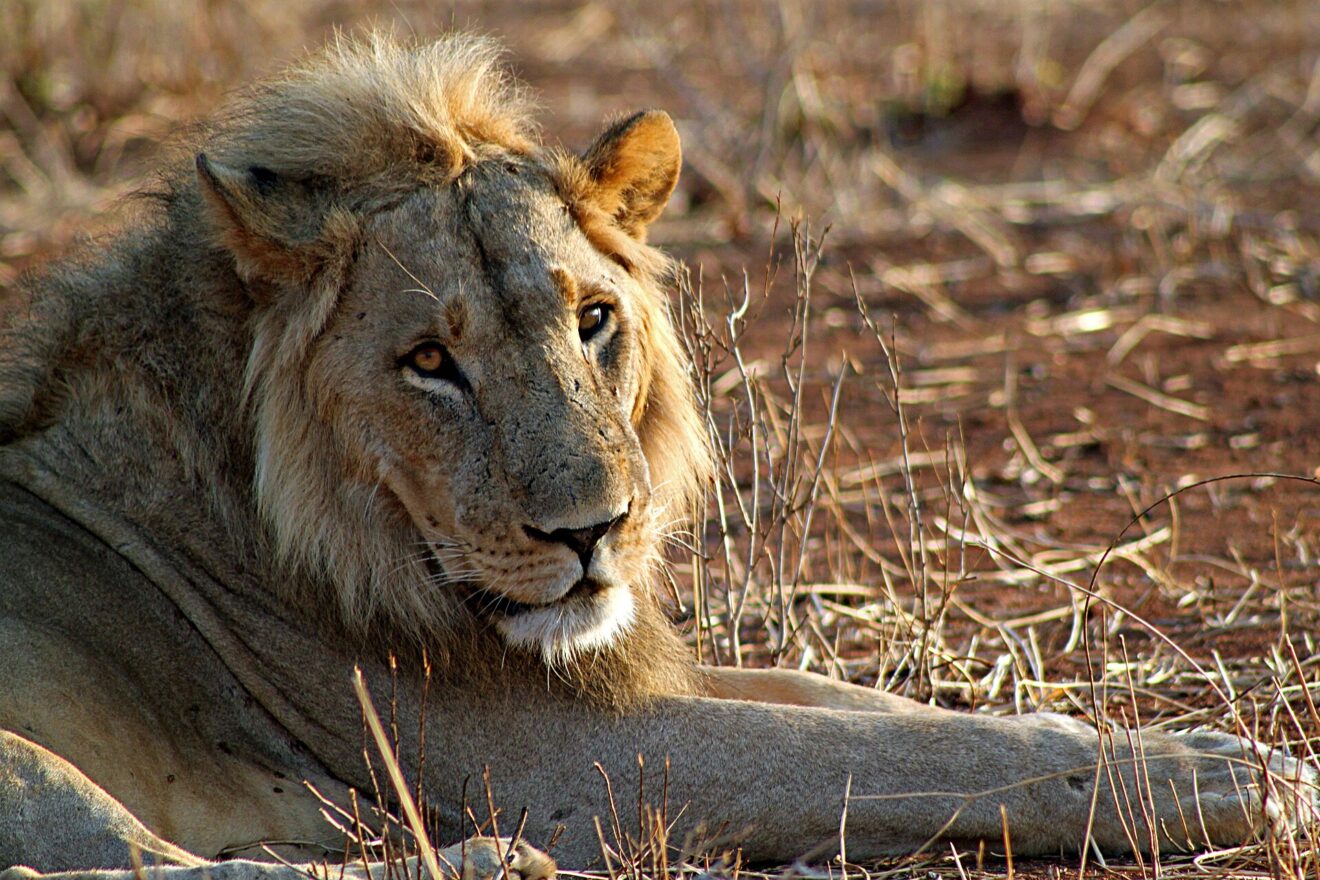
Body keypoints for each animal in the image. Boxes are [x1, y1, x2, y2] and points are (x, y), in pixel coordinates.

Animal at [0, 32, 1314, 880]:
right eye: (428, 360)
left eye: (593, 318)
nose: (593, 532)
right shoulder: (566, 760)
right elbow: (889, 752)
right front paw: (1227, 782)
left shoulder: (625, 677)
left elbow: (863, 704)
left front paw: (1215, 748)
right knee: (135, 867)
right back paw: (482, 860)